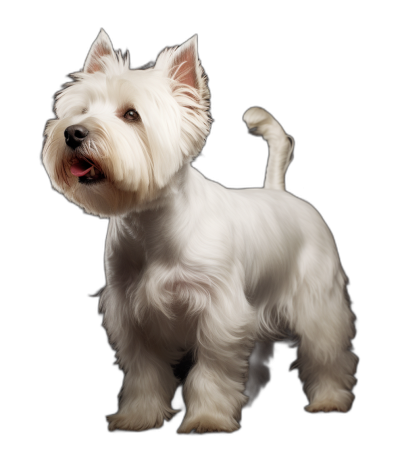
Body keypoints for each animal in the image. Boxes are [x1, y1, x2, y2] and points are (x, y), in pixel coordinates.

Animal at [42, 29, 358, 434]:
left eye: (131, 115)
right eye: (81, 110)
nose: (73, 133)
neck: (151, 224)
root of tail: (280, 192)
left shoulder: (220, 312)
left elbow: (212, 370)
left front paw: (208, 418)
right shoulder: (131, 315)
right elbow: (144, 373)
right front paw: (139, 416)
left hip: (318, 302)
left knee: (327, 352)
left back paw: (330, 400)